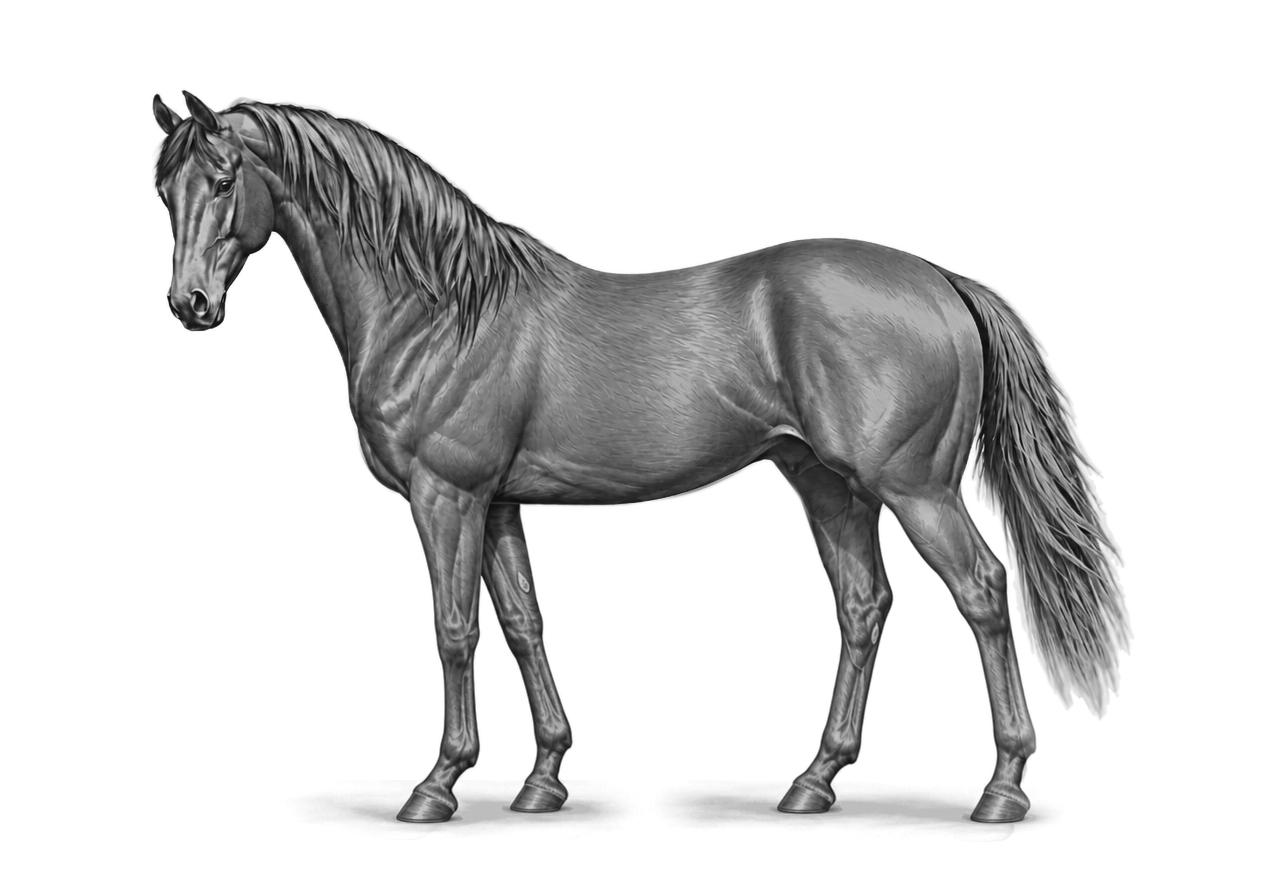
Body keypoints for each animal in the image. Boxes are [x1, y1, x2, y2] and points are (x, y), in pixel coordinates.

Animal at [151, 90, 1131, 825]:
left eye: (225, 177)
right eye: (164, 191)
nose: (190, 308)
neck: (441, 308)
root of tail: (941, 280)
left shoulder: (447, 497)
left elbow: (457, 631)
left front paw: (438, 787)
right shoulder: (497, 503)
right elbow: (524, 624)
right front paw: (542, 780)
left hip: (915, 489)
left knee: (983, 593)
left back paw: (1002, 788)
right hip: (827, 485)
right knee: (864, 606)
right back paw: (815, 782)